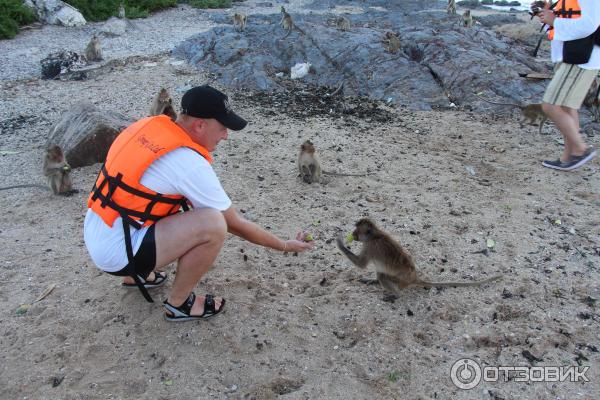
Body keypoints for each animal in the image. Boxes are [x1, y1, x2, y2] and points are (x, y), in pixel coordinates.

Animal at [338, 217, 502, 296]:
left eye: (356, 231)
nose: (352, 234)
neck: (375, 235)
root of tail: (414, 278)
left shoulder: (370, 247)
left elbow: (361, 264)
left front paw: (339, 243)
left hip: (400, 281)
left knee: (383, 276)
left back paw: (394, 294)